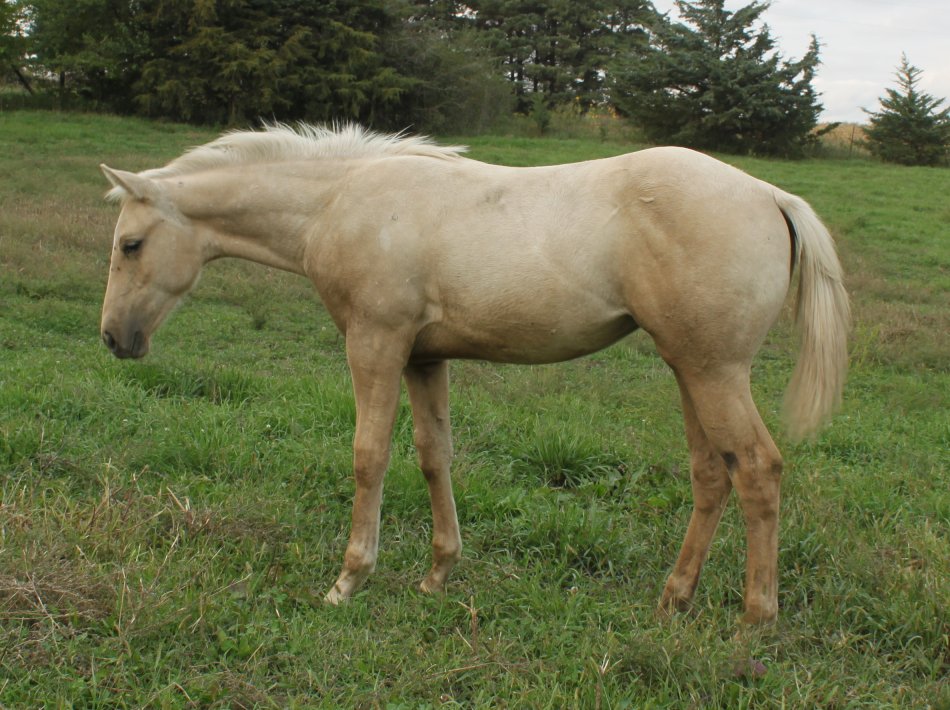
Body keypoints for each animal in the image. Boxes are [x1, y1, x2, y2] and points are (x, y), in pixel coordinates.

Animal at [100, 125, 852, 624]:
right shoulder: (423, 357)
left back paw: (754, 622)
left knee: (758, 469)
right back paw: (673, 599)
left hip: (714, 372)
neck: (339, 201)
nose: (113, 338)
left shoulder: (375, 343)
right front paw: (438, 573)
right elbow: (435, 455)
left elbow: (369, 455)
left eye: (130, 244)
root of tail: (770, 195)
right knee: (711, 474)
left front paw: (350, 579)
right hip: (690, 369)